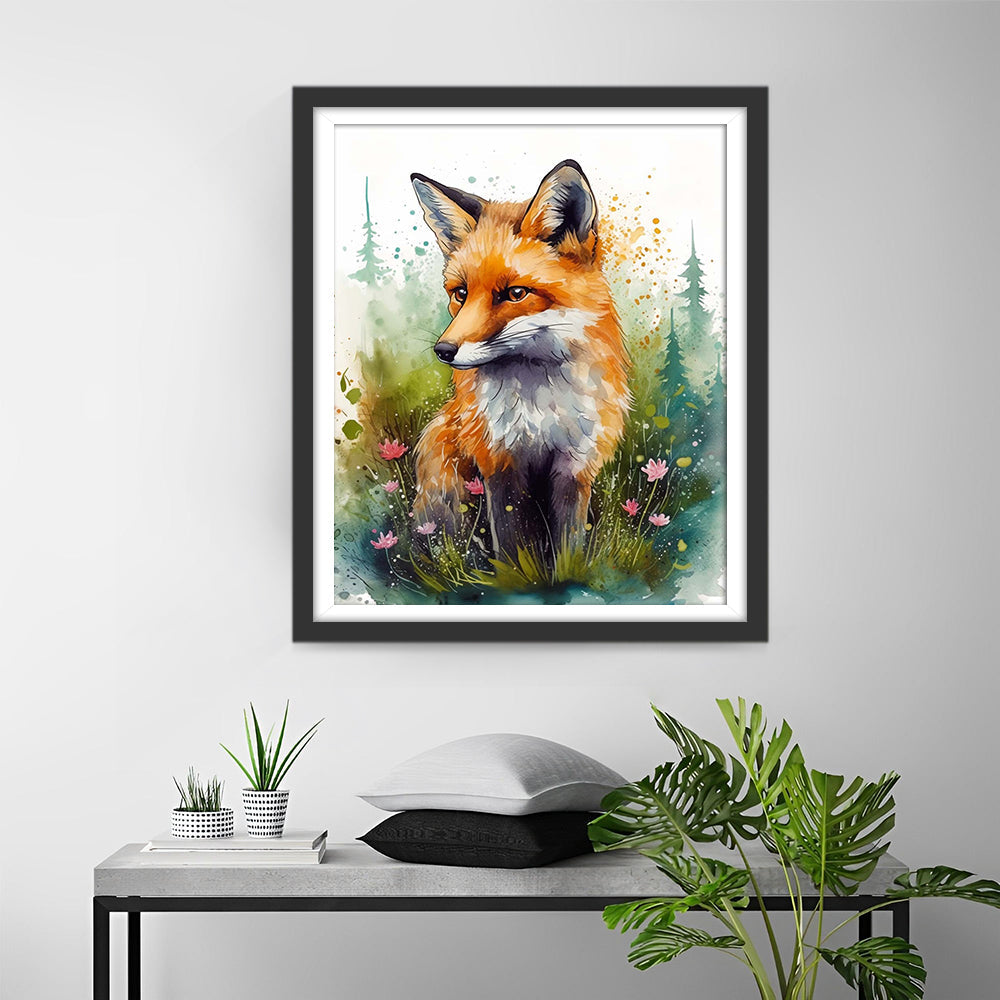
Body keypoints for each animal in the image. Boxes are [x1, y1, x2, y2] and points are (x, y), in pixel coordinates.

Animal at [410, 159, 630, 559]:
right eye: (461, 293)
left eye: (515, 293)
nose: (443, 351)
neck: (540, 404)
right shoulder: (500, 461)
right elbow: (513, 546)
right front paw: (518, 574)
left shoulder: (575, 464)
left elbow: (568, 545)